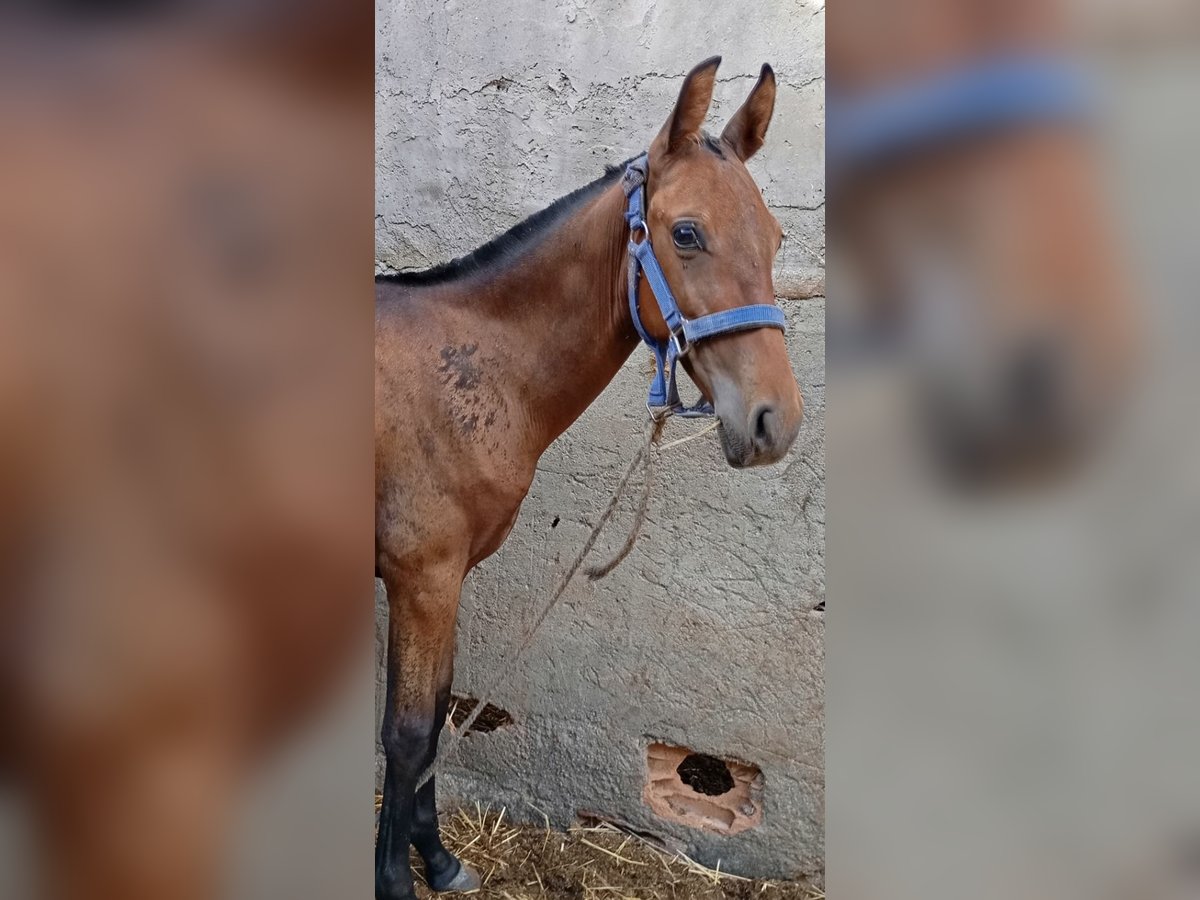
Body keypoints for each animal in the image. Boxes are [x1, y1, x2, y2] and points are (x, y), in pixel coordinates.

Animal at [374, 58, 806, 900]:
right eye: (685, 233)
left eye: (775, 236)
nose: (776, 421)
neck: (471, 367)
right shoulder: (420, 576)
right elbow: (406, 735)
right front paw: (395, 881)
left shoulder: (446, 578)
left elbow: (437, 712)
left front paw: (438, 861)